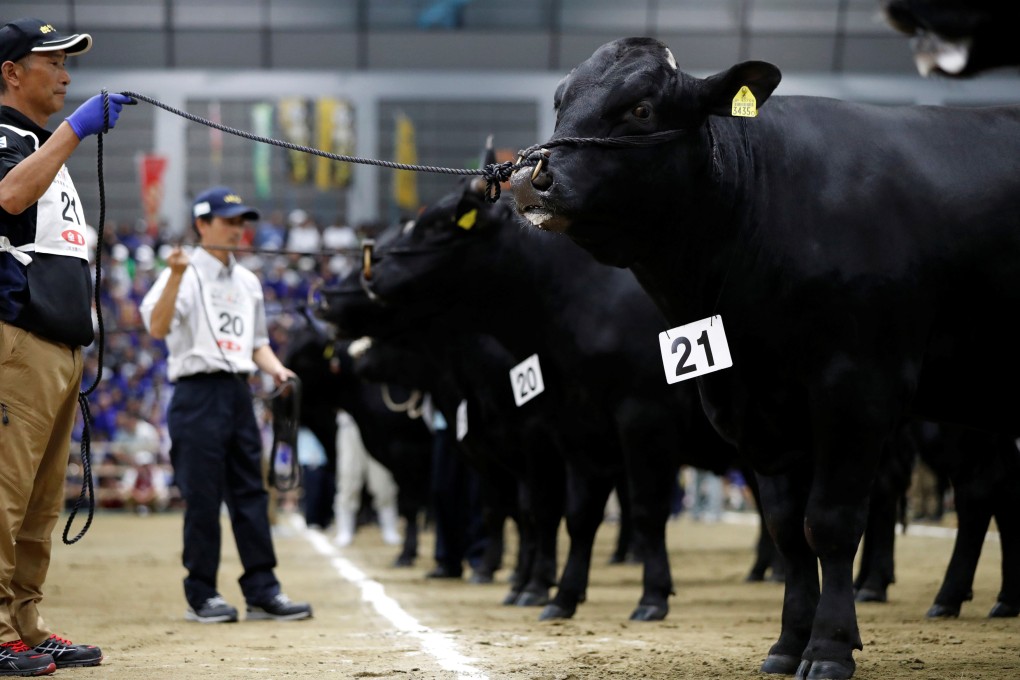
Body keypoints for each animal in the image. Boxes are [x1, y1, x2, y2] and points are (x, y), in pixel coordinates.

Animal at [508, 36, 1020, 678]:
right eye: (561, 101)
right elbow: (787, 529)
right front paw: (787, 643)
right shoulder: (760, 409)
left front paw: (829, 648)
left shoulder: (857, 390)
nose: (531, 177)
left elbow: (829, 522)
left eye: (641, 108)